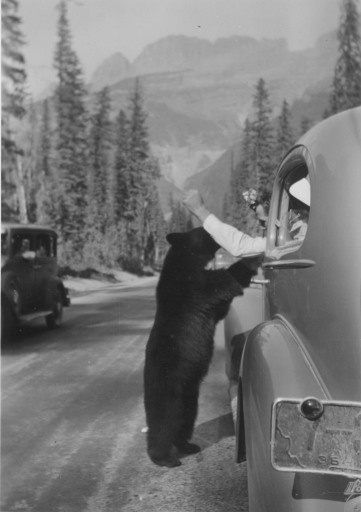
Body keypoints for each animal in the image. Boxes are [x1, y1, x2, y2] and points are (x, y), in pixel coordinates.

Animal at [142, 228, 258, 468]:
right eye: (202, 230)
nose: (213, 229)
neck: (186, 260)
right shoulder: (189, 286)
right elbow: (221, 281)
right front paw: (254, 257)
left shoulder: (206, 304)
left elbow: (220, 306)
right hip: (167, 384)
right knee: (163, 421)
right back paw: (163, 458)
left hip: (189, 394)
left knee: (184, 420)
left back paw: (187, 445)